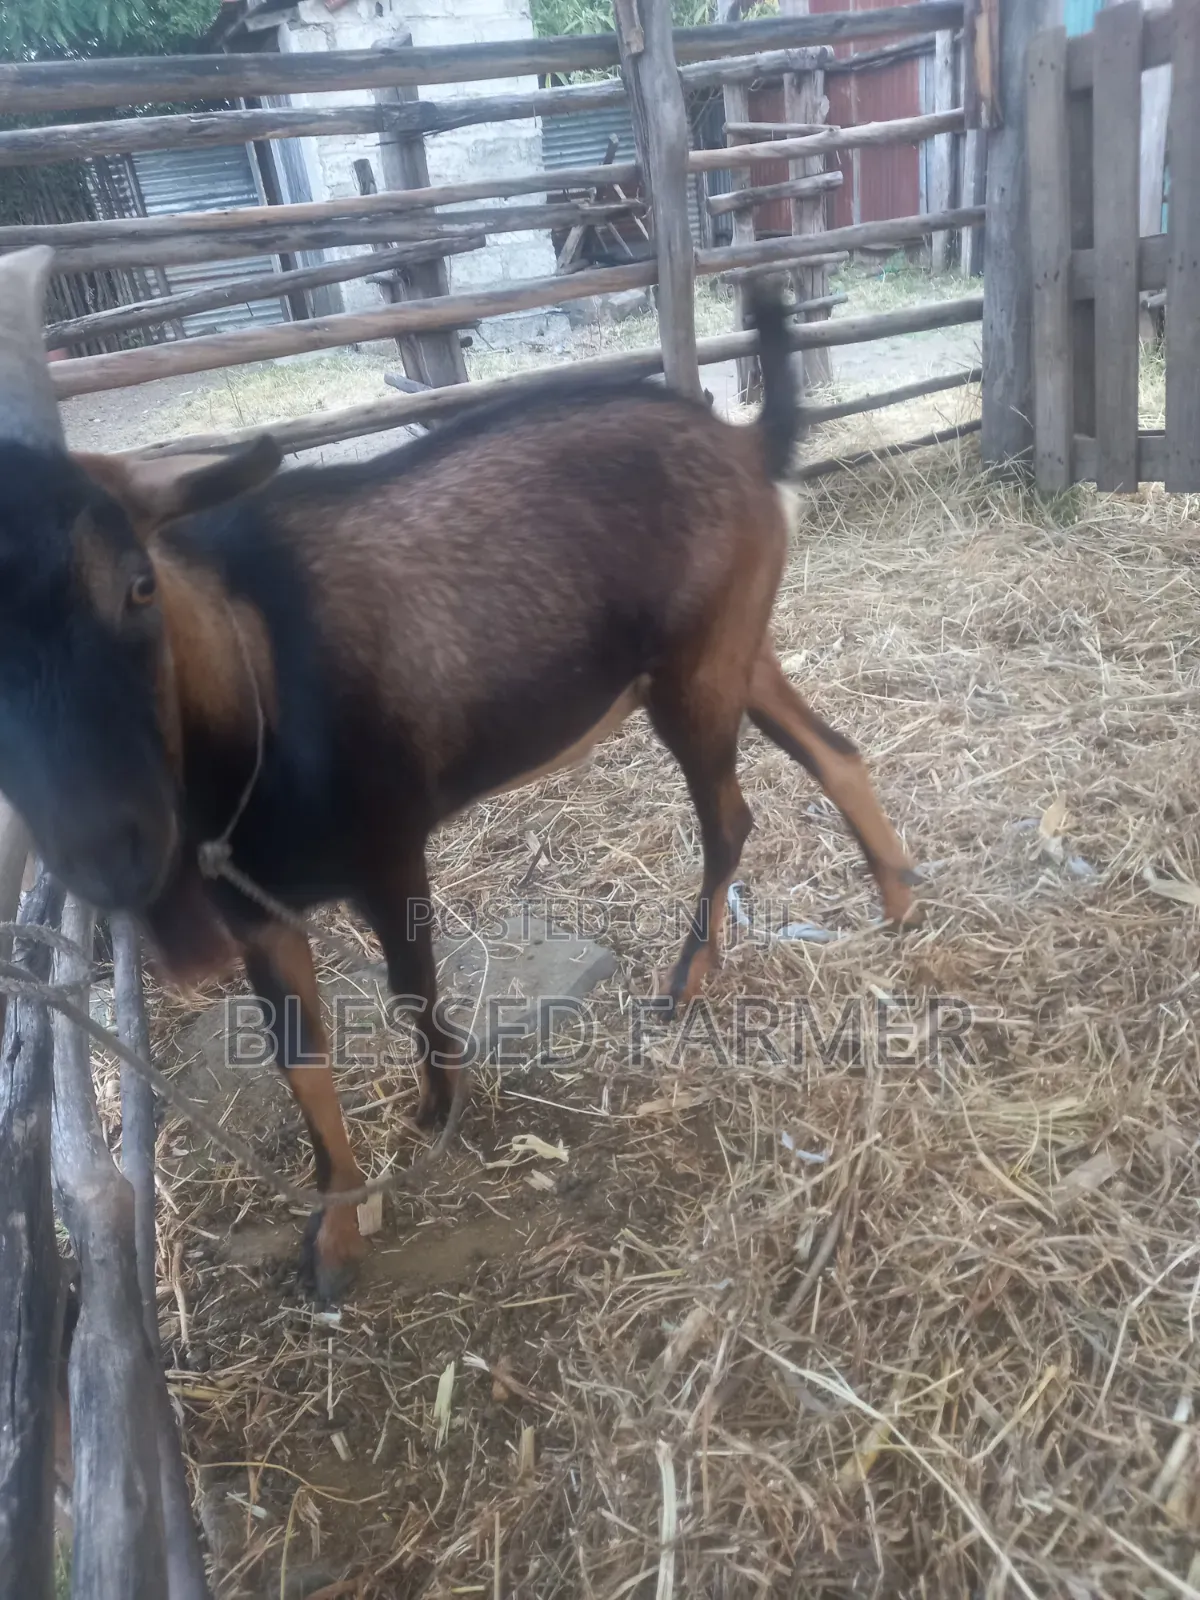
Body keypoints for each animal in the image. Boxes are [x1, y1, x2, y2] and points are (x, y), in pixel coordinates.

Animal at [0, 245, 918, 1301]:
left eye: (139, 584)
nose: (110, 849)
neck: (252, 671)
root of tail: (744, 442)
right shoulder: (255, 909)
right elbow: (298, 1062)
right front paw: (334, 1235)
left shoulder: (389, 849)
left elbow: (411, 987)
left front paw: (439, 1110)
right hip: (734, 651)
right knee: (835, 750)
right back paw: (900, 903)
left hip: (695, 675)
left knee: (731, 817)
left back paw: (688, 980)